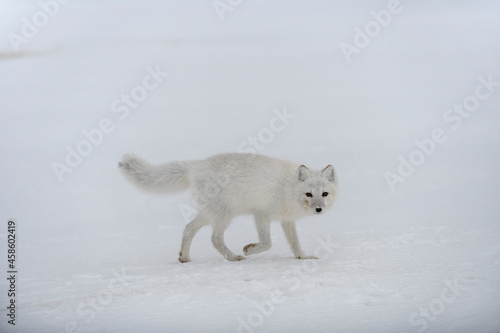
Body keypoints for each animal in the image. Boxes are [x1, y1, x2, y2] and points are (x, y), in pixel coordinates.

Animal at [118, 152, 336, 260]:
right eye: (309, 194)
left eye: (324, 194)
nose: (318, 209)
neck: (288, 189)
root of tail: (197, 165)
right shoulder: (261, 214)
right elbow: (267, 243)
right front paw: (249, 250)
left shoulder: (287, 220)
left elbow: (295, 243)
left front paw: (303, 257)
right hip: (224, 215)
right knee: (214, 238)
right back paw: (233, 257)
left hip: (211, 214)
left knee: (188, 228)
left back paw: (185, 257)